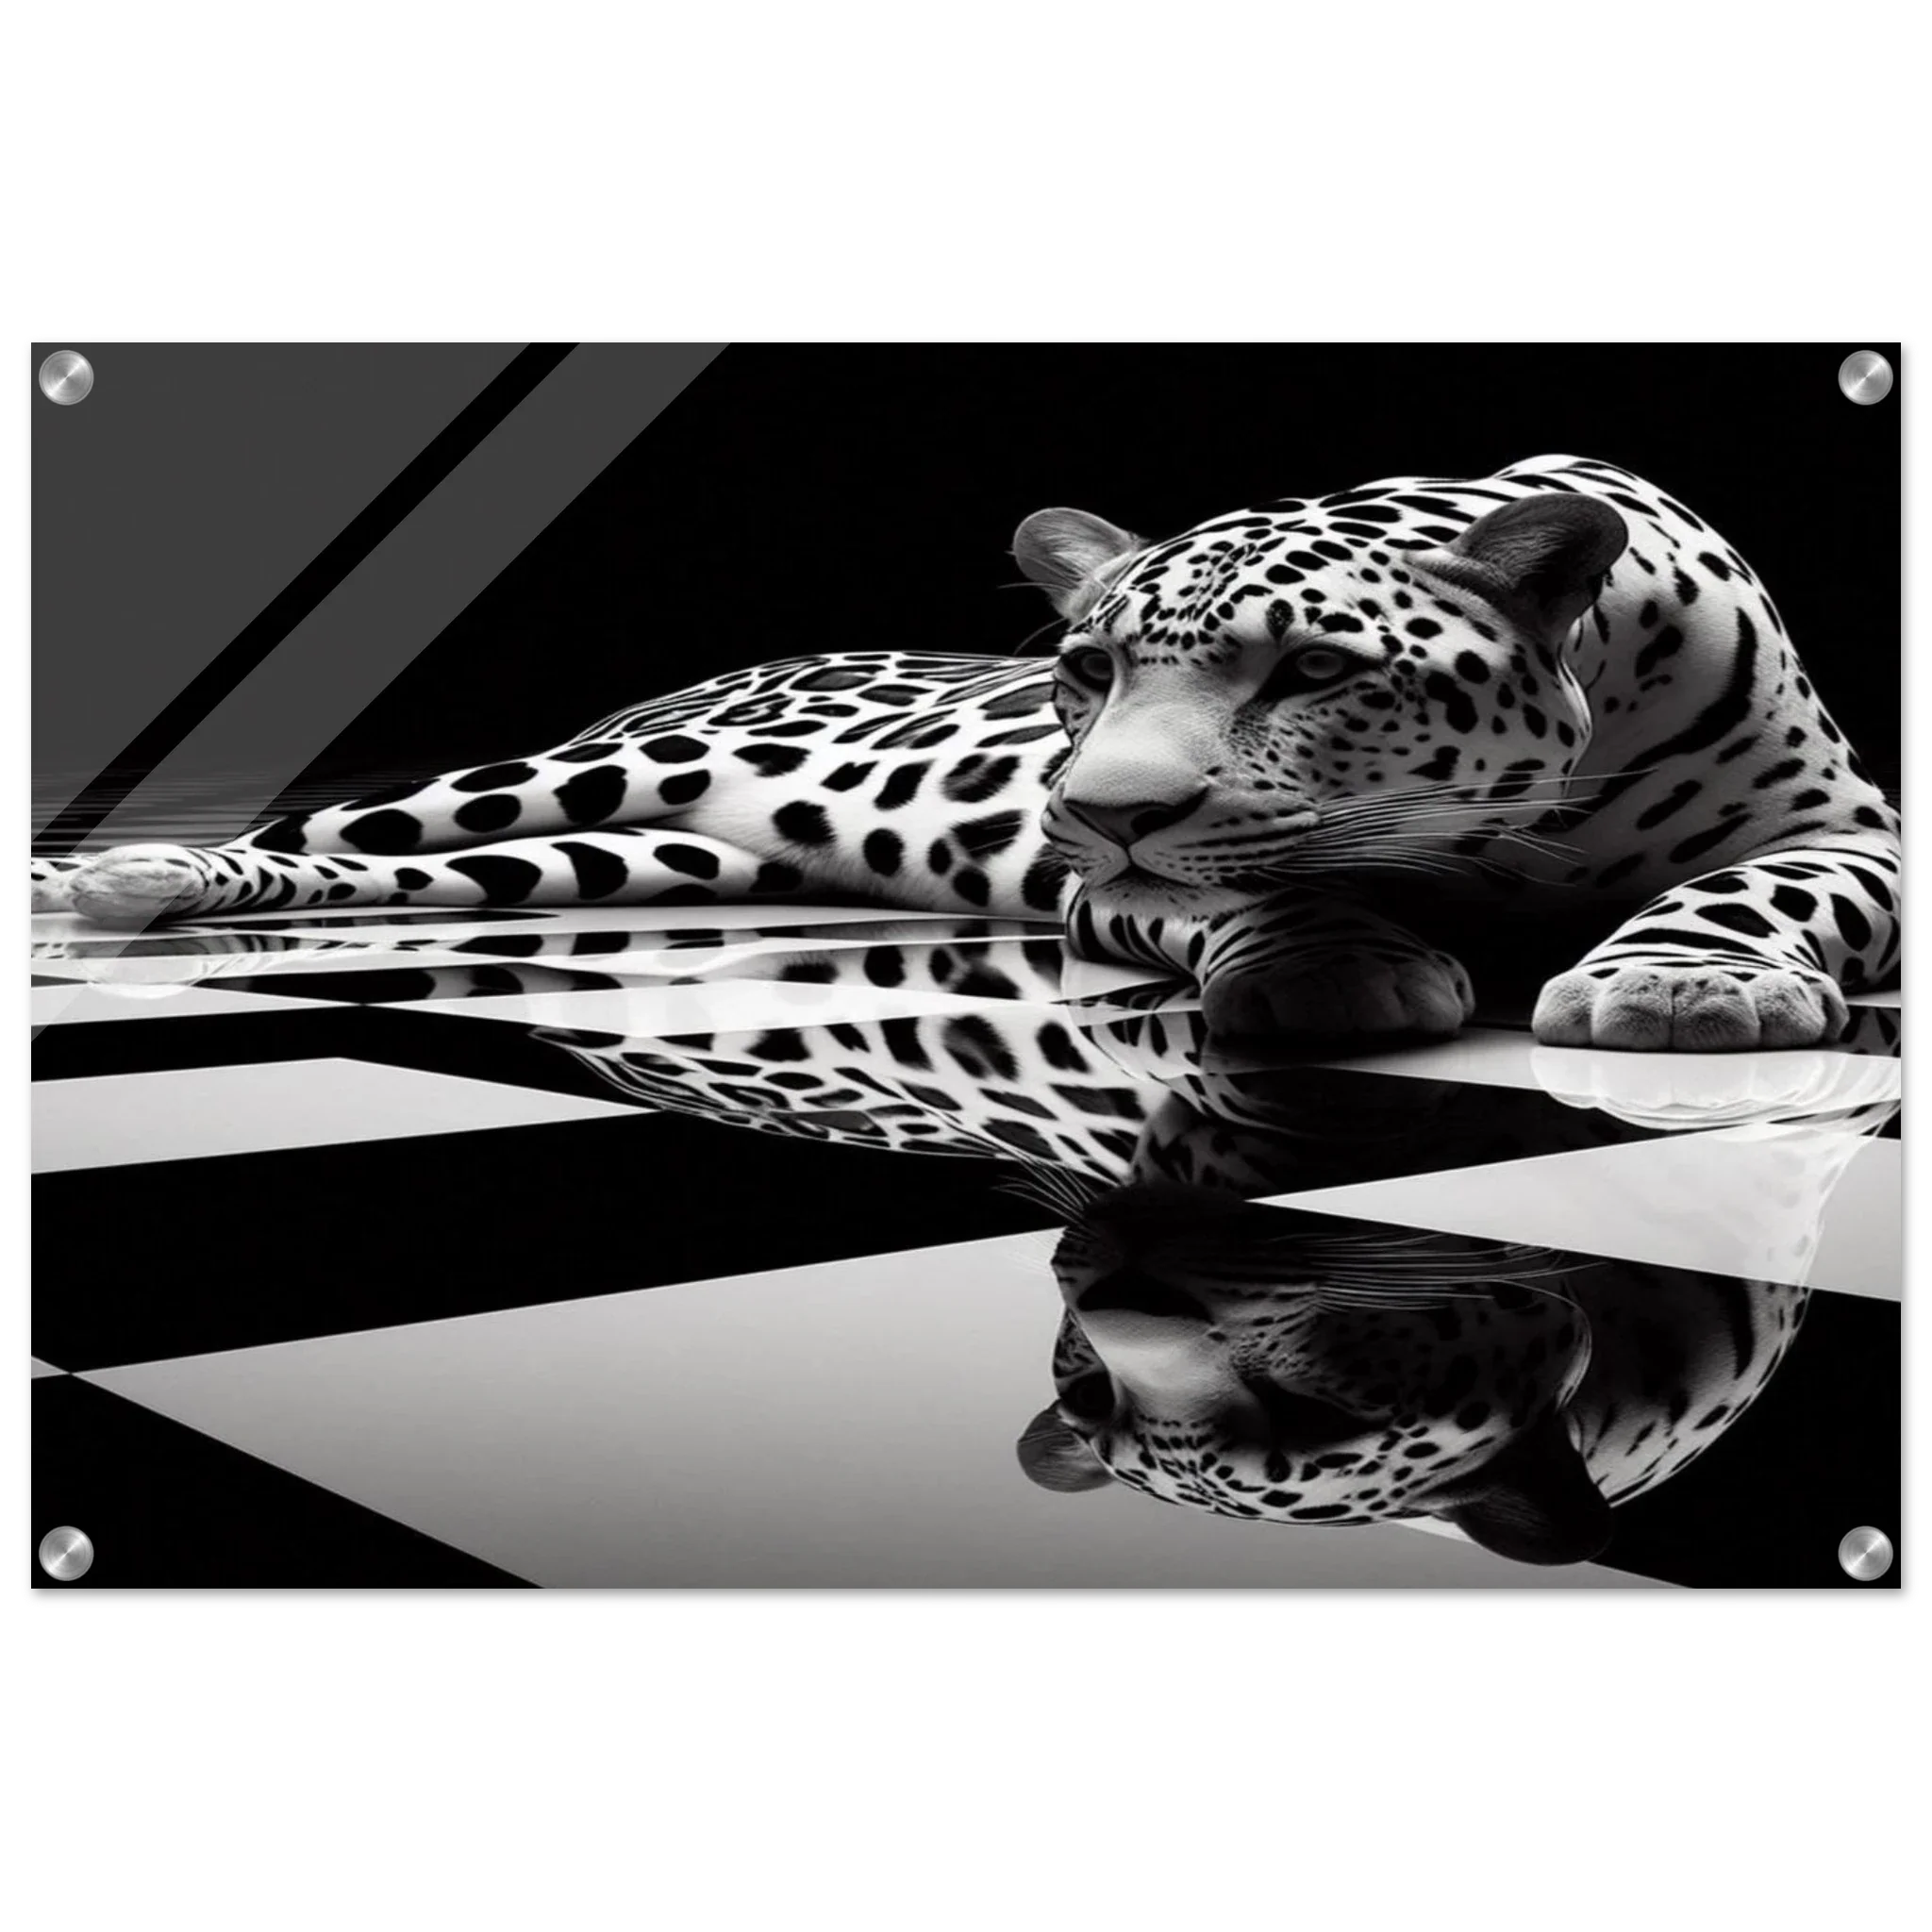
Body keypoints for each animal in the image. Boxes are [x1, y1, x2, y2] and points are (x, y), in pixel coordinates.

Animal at [32, 455, 1902, 1052]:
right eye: (1082, 671)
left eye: (1312, 668)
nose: (1096, 806)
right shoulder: (1106, 897)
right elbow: (1250, 891)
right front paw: (1334, 966)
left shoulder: (1850, 827)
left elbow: (1753, 886)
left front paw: (1676, 984)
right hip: (562, 783)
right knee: (334, 827)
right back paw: (118, 880)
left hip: (633, 855)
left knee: (416, 874)